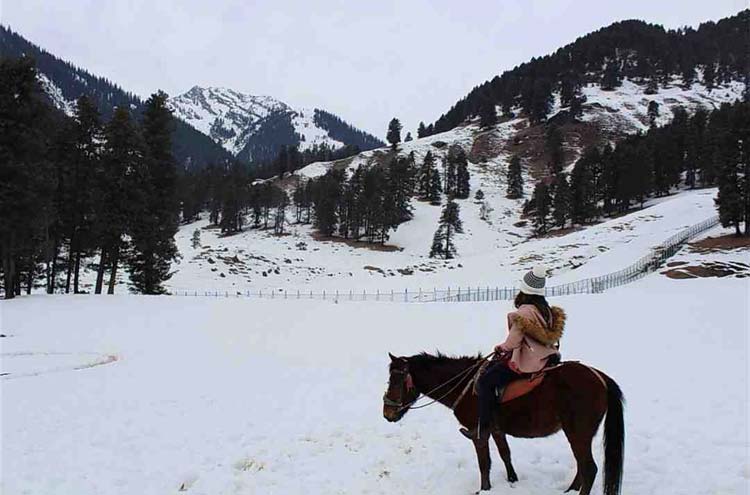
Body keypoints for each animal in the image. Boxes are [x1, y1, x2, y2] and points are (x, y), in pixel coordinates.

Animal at [382, 352, 624, 495]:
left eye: (395, 380)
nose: (387, 413)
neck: (468, 386)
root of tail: (600, 377)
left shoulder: (478, 433)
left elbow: (484, 463)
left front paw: (484, 489)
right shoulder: (496, 430)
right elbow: (505, 454)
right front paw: (512, 480)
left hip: (577, 432)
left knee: (589, 468)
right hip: (578, 434)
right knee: (582, 467)